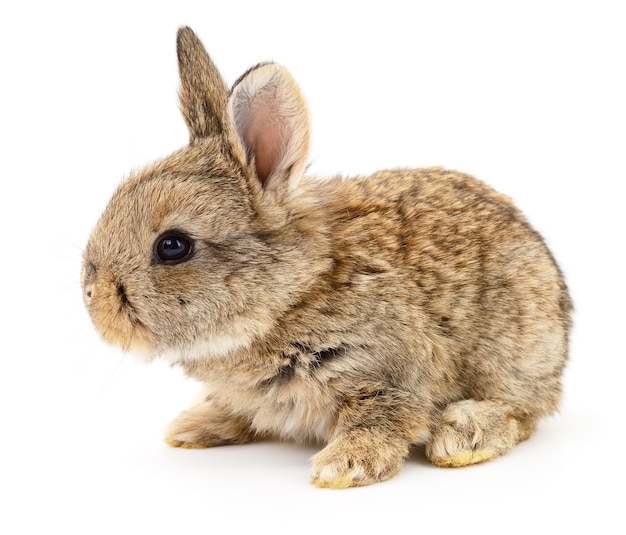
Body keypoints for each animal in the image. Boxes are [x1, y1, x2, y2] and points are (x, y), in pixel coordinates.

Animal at [83, 28, 572, 490]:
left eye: (173, 246)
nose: (92, 298)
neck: (290, 298)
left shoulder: (388, 373)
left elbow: (379, 418)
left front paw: (342, 468)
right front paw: (194, 426)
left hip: (513, 357)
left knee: (523, 411)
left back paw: (462, 434)